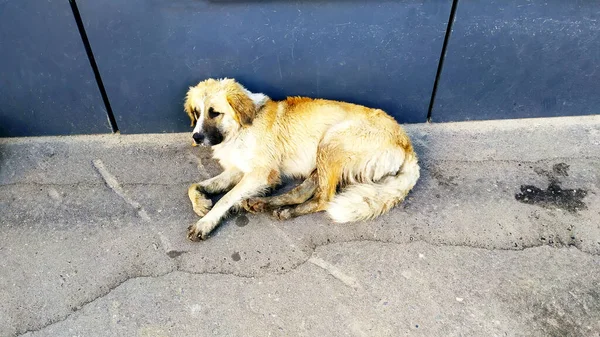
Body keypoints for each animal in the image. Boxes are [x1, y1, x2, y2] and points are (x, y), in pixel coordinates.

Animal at [185, 77, 420, 240]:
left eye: (214, 113)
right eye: (196, 113)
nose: (196, 137)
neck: (243, 126)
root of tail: (406, 143)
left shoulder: (261, 173)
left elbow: (226, 198)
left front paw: (206, 222)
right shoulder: (238, 170)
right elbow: (194, 185)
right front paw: (201, 203)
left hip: (330, 142)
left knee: (324, 199)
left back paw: (285, 211)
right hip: (322, 158)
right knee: (302, 192)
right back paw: (263, 203)